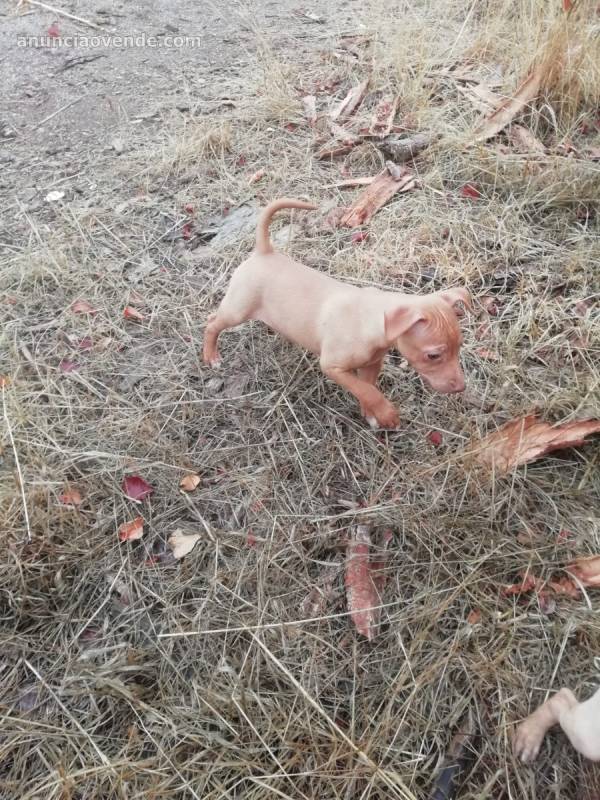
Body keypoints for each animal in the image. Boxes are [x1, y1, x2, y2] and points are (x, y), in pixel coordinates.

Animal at [204, 198, 472, 428]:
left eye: (459, 346)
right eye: (433, 356)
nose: (461, 387)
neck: (370, 318)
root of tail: (264, 251)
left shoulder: (372, 364)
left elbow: (369, 387)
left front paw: (371, 414)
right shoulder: (332, 366)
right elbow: (366, 390)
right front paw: (386, 413)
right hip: (238, 309)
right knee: (212, 322)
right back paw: (211, 356)